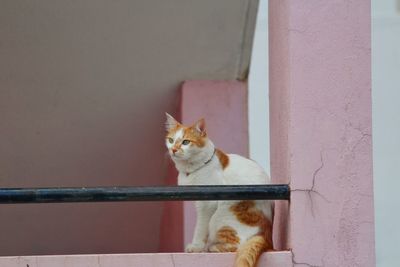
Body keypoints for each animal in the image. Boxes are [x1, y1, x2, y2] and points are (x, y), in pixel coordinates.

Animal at [164, 113, 274, 267]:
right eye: (171, 140)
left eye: (186, 142)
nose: (173, 149)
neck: (191, 169)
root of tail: (267, 235)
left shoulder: (207, 205)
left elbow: (200, 228)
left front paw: (196, 247)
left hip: (221, 215)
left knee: (237, 245)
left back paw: (212, 247)